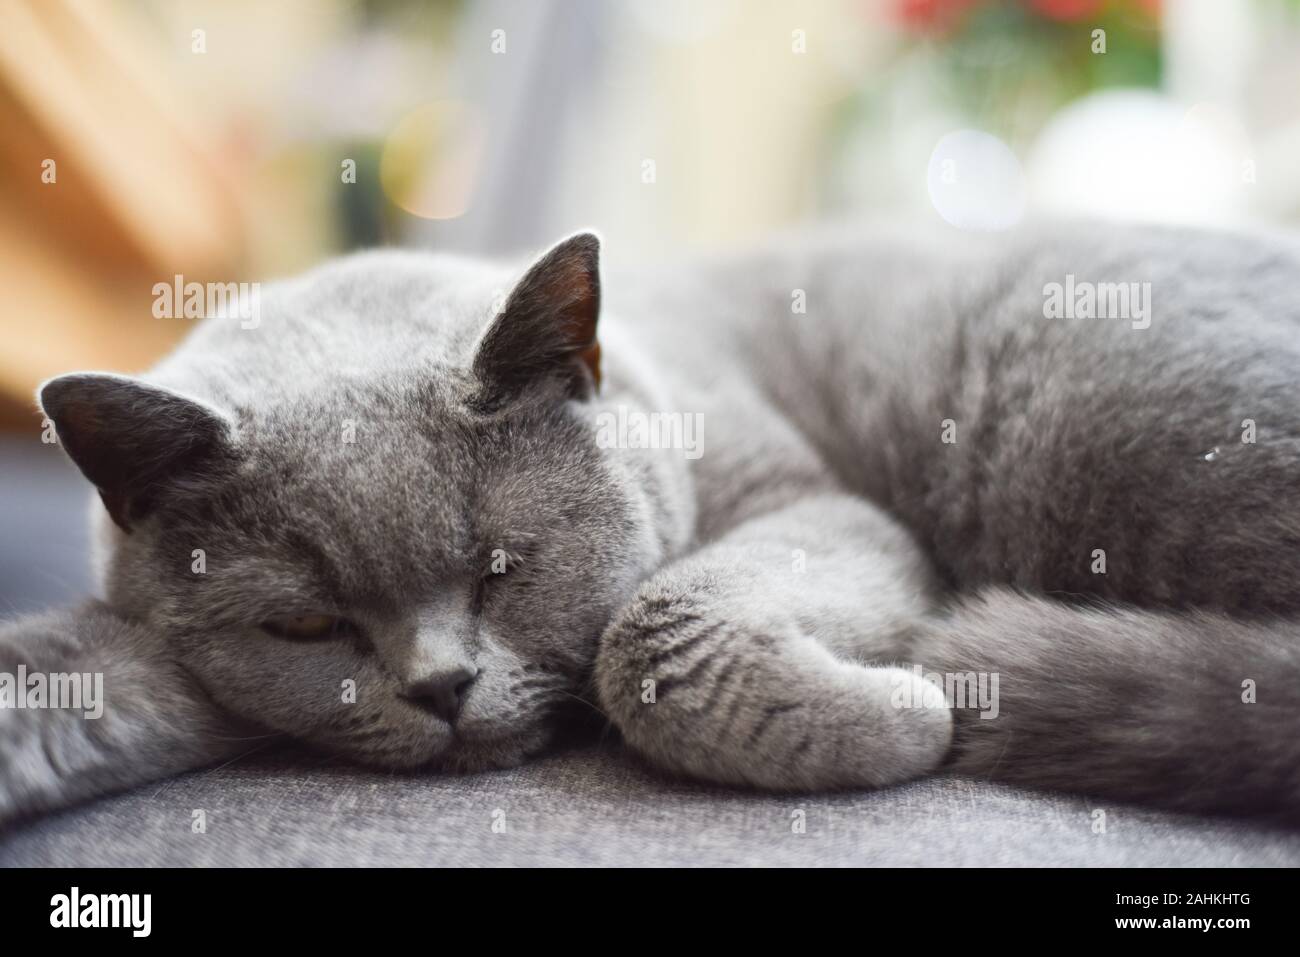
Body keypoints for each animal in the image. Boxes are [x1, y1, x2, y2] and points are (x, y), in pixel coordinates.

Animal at [2, 226, 1300, 832]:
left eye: (502, 568)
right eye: (310, 626)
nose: (440, 689)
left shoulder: (808, 503)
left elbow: (652, 632)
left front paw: (908, 718)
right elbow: (55, 687)